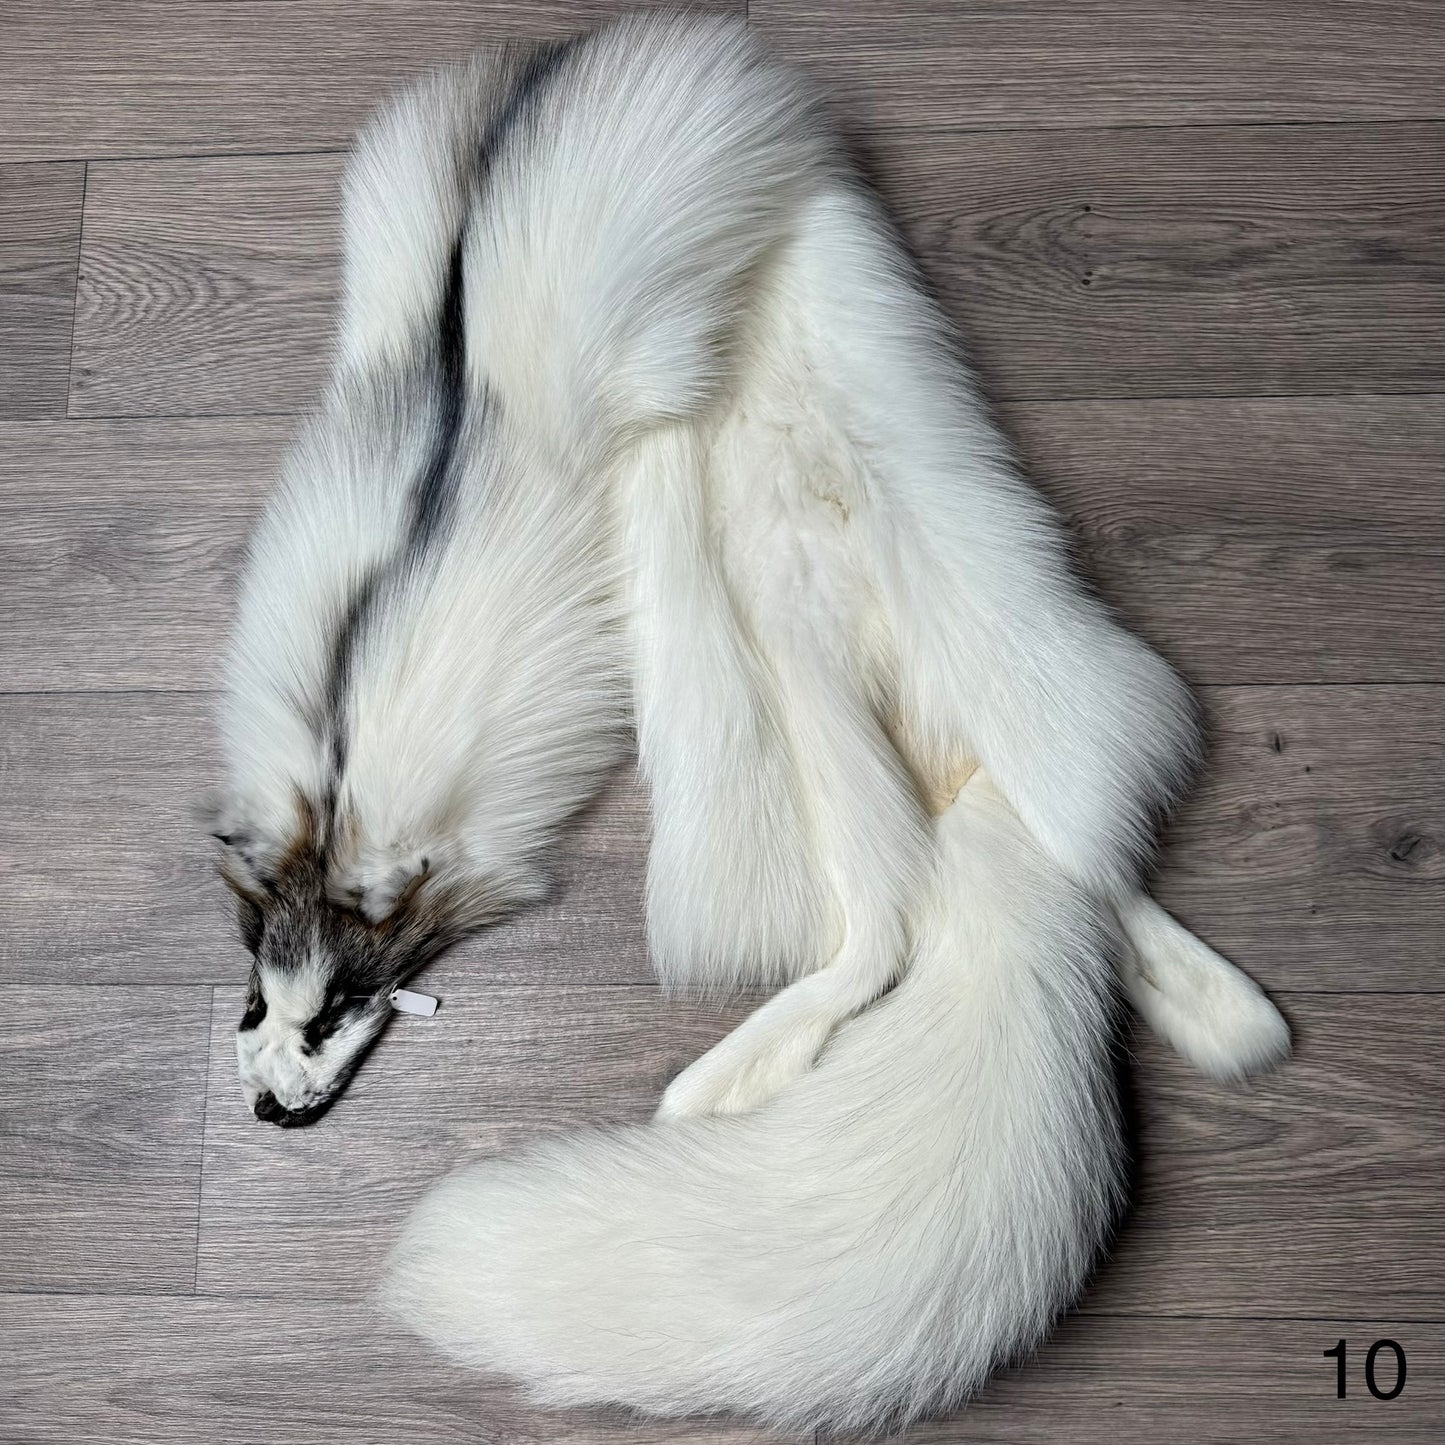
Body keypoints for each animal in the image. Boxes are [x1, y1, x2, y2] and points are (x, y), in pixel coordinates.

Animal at [212, 12, 1290, 1431]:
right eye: (255, 1002)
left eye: (340, 1008)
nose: (273, 1116)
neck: (339, 777)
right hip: (812, 696)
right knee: (956, 898)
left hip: (936, 632)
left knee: (980, 883)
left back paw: (725, 1076)